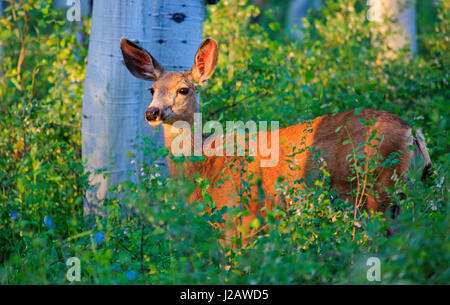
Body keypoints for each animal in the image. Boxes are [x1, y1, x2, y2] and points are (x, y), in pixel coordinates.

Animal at [120, 36, 432, 240]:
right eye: (152, 89)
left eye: (184, 89)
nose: (152, 112)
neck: (205, 167)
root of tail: (413, 133)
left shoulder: (238, 214)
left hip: (378, 189)